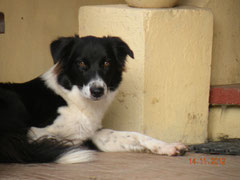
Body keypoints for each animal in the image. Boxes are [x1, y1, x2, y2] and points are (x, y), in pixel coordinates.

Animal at [0, 35, 188, 163]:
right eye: (81, 64)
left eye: (107, 63)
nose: (97, 91)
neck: (74, 102)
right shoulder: (35, 132)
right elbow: (57, 139)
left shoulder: (97, 134)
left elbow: (135, 135)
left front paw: (167, 146)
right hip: (13, 100)